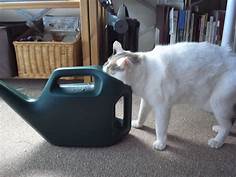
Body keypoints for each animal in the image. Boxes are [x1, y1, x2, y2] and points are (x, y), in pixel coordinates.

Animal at [103, 40, 236, 150]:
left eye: (110, 73)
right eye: (105, 64)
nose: (102, 72)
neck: (145, 72)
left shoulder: (162, 107)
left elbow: (160, 128)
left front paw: (161, 143)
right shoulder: (146, 100)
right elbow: (142, 113)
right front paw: (138, 124)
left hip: (217, 103)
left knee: (228, 124)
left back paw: (218, 141)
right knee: (230, 122)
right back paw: (219, 128)